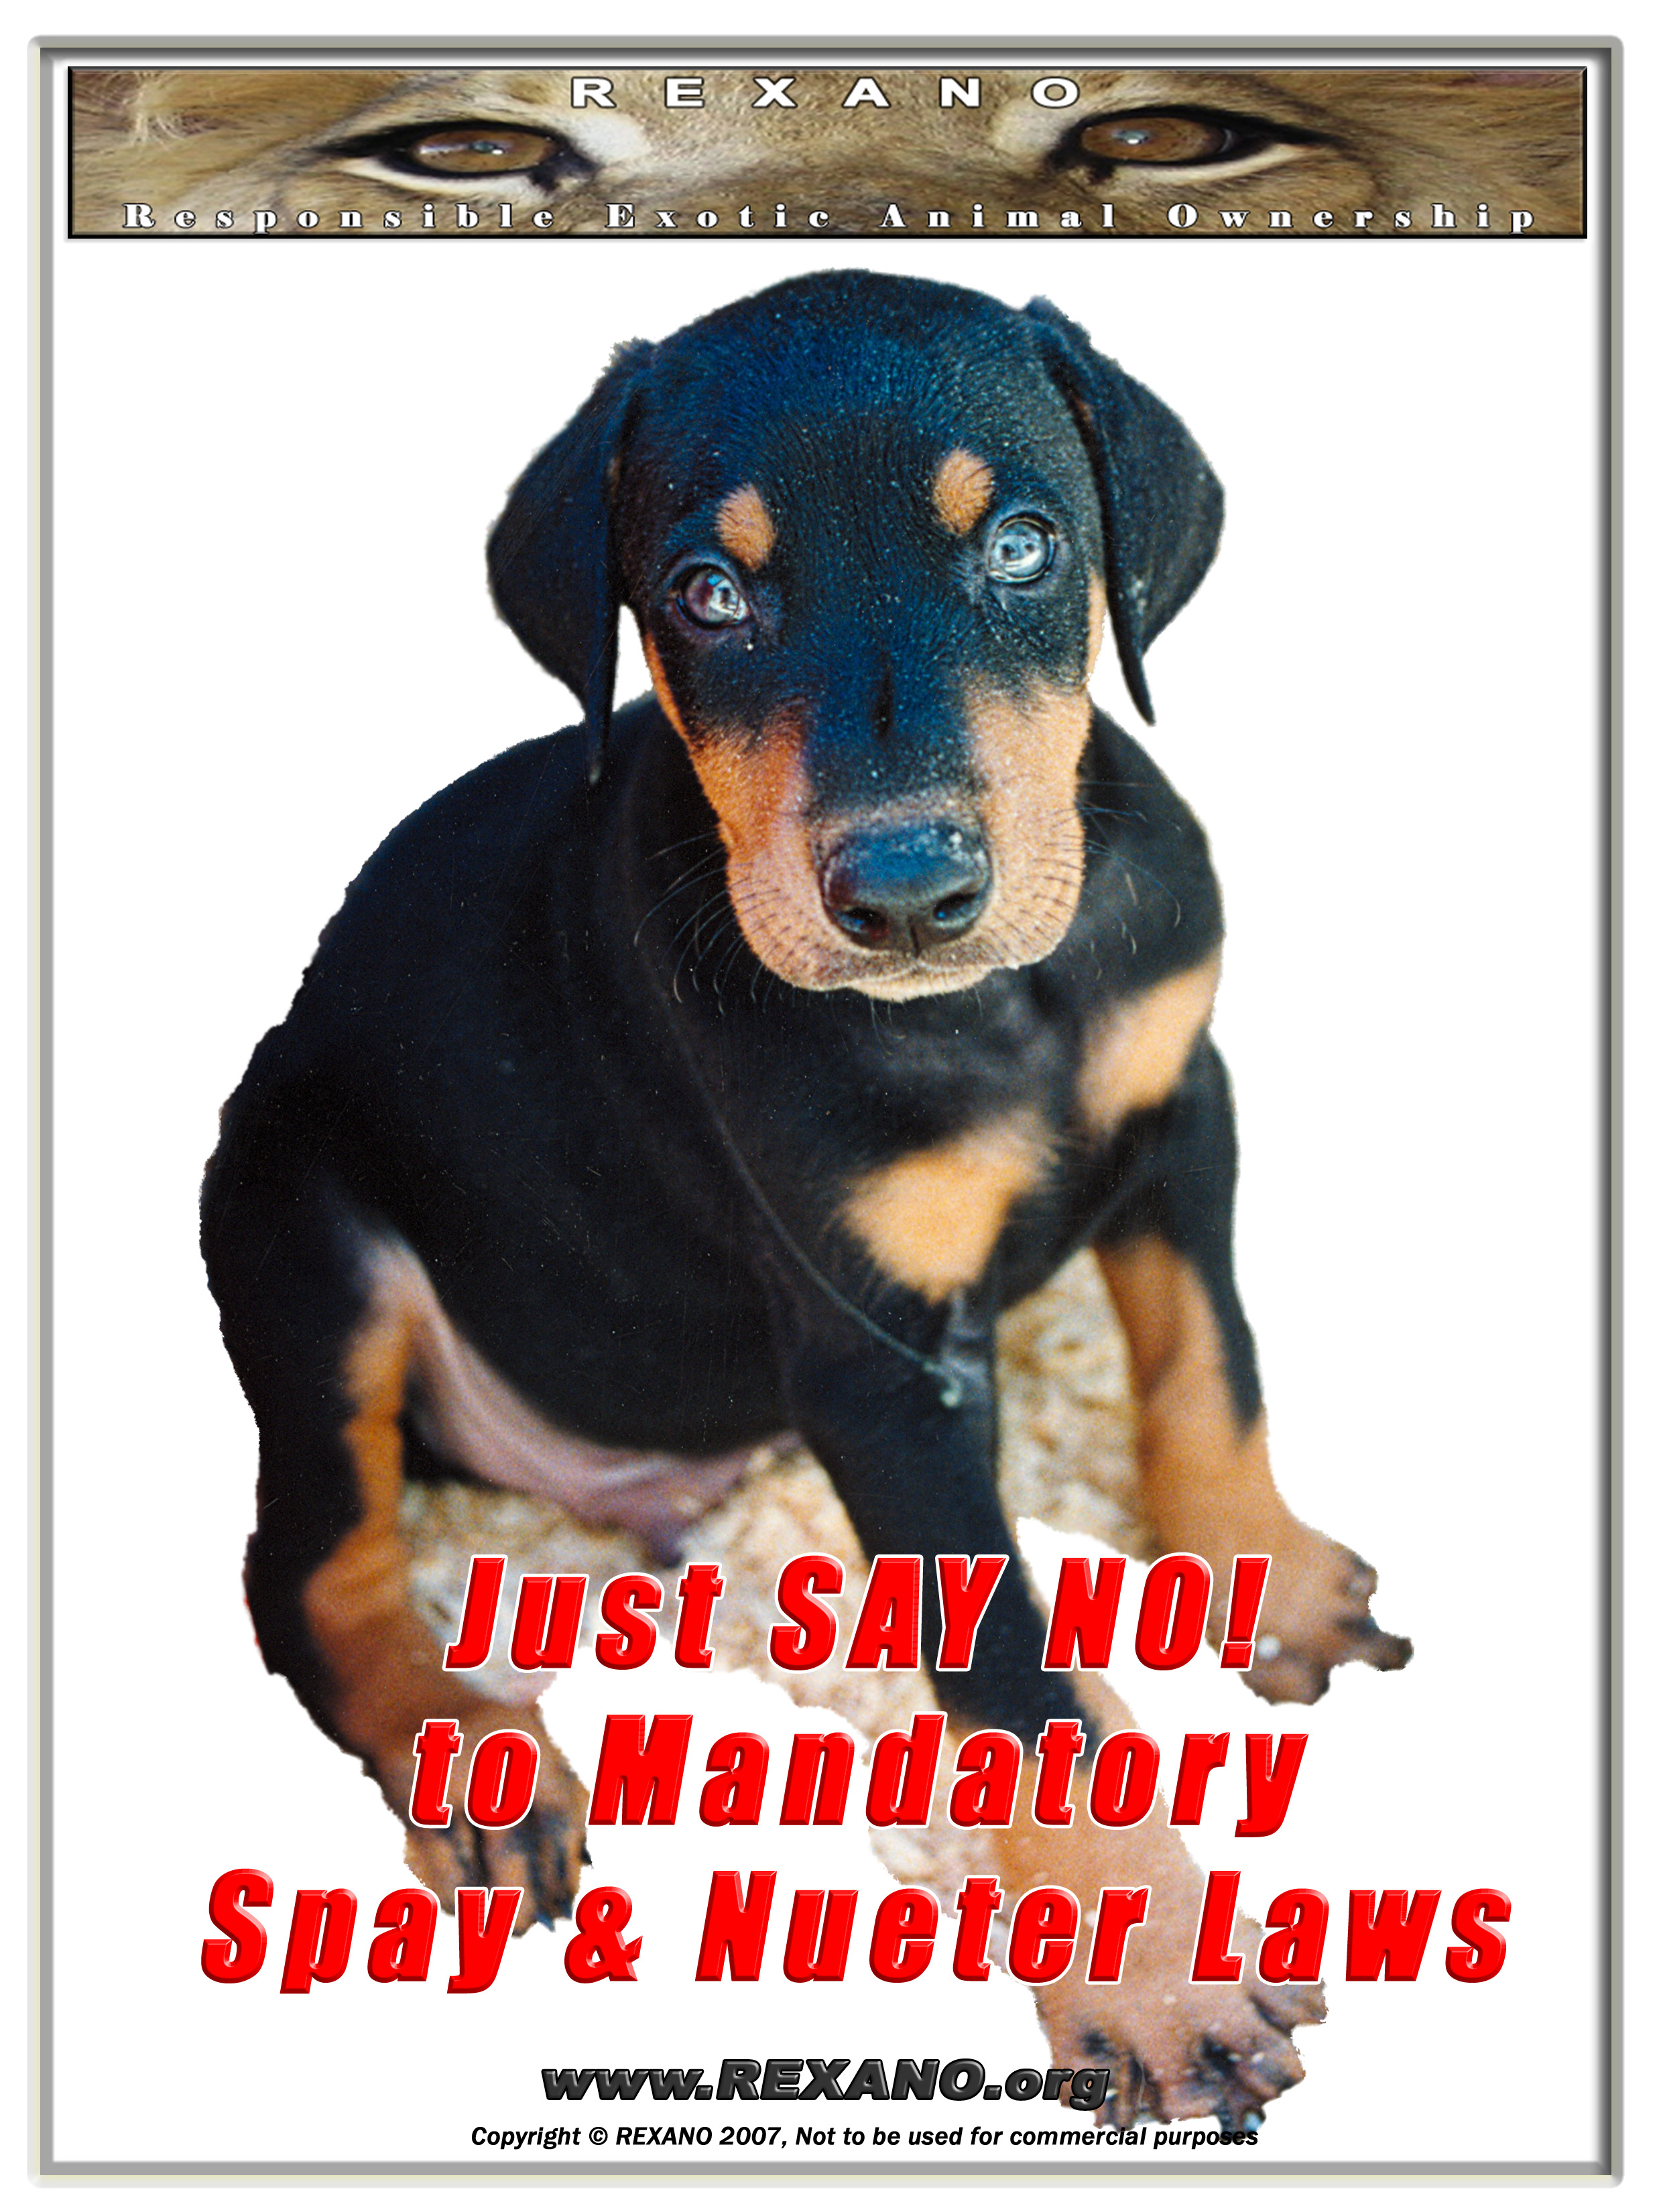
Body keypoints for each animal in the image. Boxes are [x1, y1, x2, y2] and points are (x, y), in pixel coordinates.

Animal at [201, 270, 1410, 2127]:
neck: (1000, 1007)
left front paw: (1256, 1574)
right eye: (707, 592)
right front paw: (1153, 1987)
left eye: (1022, 547)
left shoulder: (1181, 1101)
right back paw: (480, 1774)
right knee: (308, 1576)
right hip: (302, 1232)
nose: (906, 892)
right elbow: (1013, 1685)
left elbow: (1211, 1363)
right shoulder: (870, 1354)